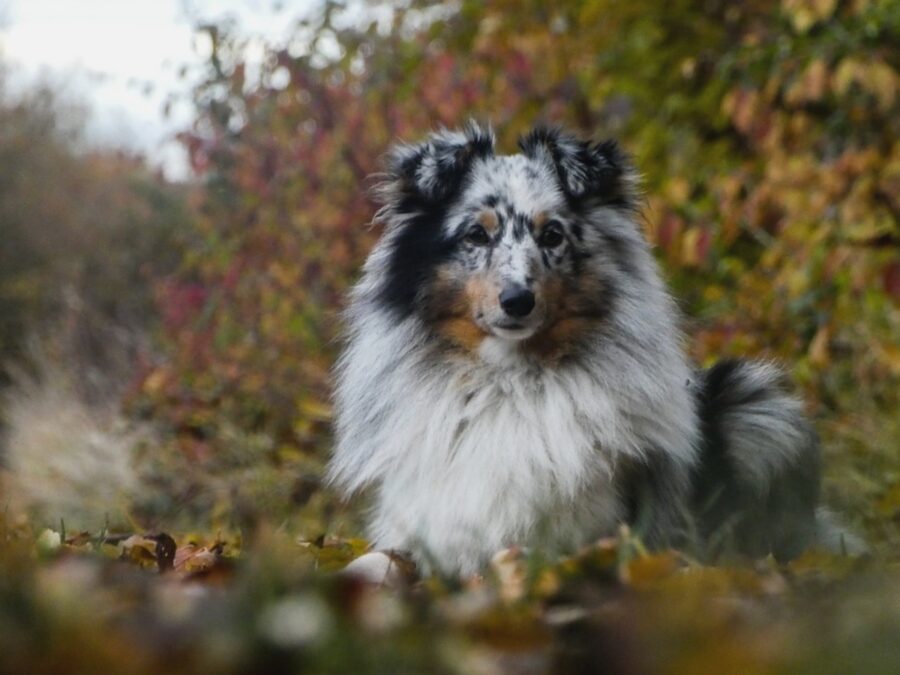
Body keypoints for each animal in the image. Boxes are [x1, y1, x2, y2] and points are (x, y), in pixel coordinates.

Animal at [328, 121, 852, 576]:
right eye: (477, 234)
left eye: (552, 235)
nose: (517, 301)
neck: (509, 382)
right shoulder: (419, 528)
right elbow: (375, 560)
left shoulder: (594, 536)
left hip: (755, 404)